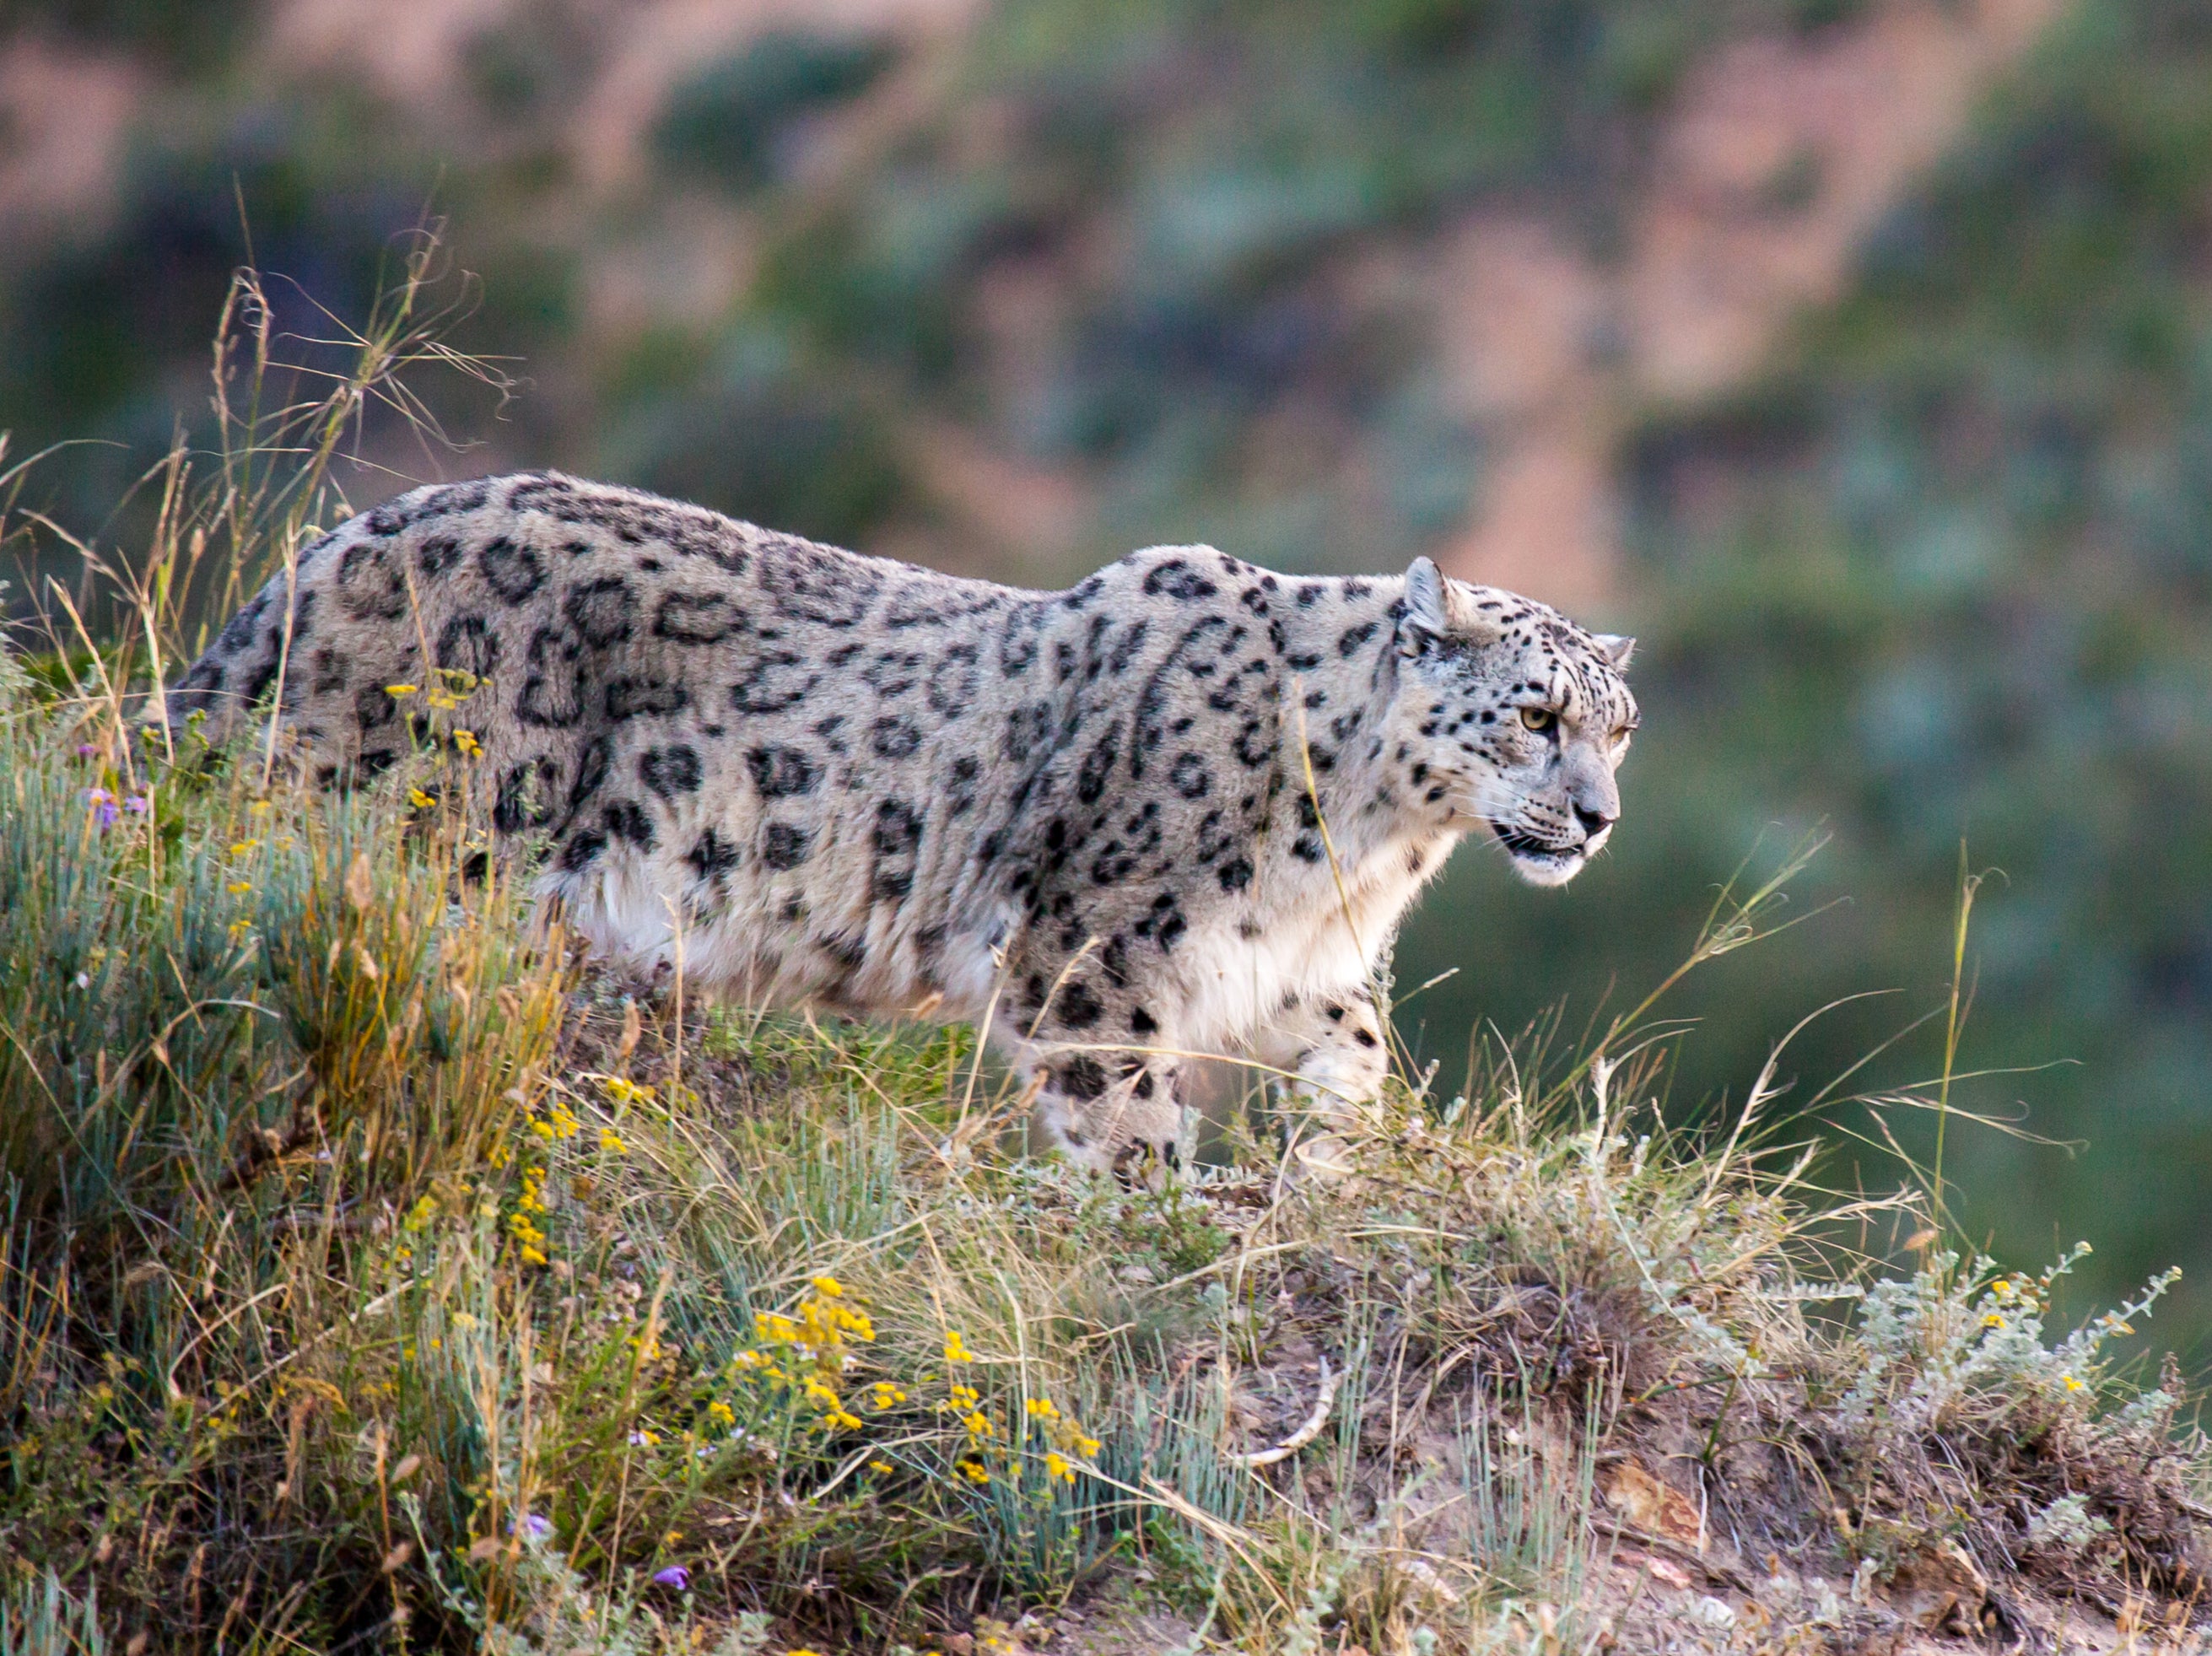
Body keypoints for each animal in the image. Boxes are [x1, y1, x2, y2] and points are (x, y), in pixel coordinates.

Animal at [164, 471, 1637, 1184]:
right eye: (1536, 712)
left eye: (1619, 727)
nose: (1598, 815)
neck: (1365, 852)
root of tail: (319, 557)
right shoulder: (1095, 948)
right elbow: (1126, 1111)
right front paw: (1166, 1214)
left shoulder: (1297, 965)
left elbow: (1357, 1056)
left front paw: (1336, 1162)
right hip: (440, 829)